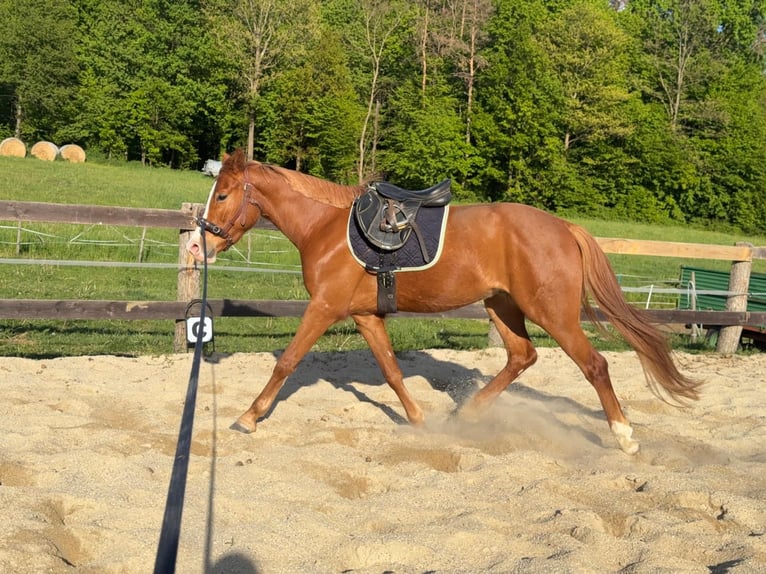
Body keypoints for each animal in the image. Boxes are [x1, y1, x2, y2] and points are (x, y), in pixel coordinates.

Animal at [186, 149, 701, 454]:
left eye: (224, 194)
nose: (197, 247)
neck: (325, 229)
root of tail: (564, 227)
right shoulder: (365, 316)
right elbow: (392, 371)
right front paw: (419, 421)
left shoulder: (325, 308)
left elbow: (287, 362)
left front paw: (249, 417)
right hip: (503, 306)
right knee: (522, 355)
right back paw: (468, 412)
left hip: (551, 313)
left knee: (594, 364)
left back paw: (624, 436)